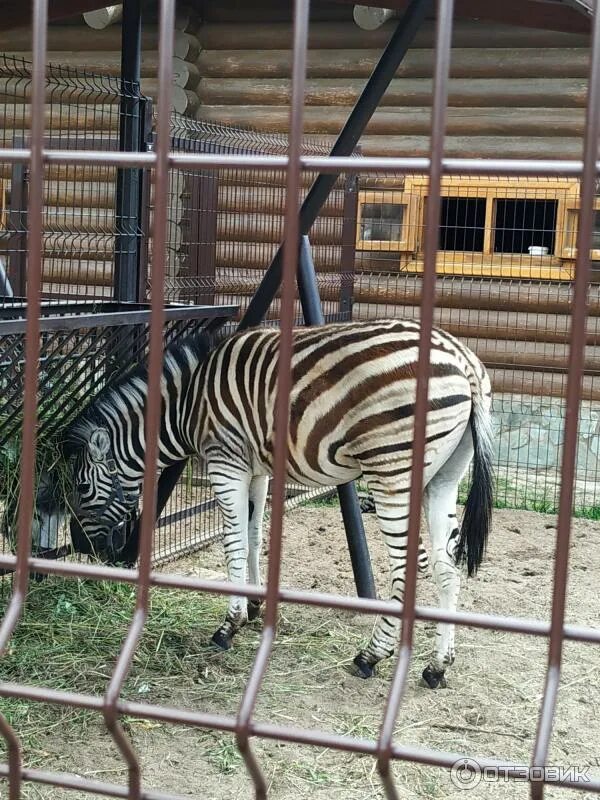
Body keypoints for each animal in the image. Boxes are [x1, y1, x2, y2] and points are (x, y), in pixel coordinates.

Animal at [62, 318, 492, 688]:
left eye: (81, 488)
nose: (82, 547)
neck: (189, 403)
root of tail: (462, 358)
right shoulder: (256, 470)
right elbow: (253, 536)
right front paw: (254, 607)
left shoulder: (225, 462)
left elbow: (233, 541)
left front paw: (229, 625)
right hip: (444, 477)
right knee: (447, 567)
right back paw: (437, 667)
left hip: (392, 471)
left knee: (409, 566)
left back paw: (371, 655)